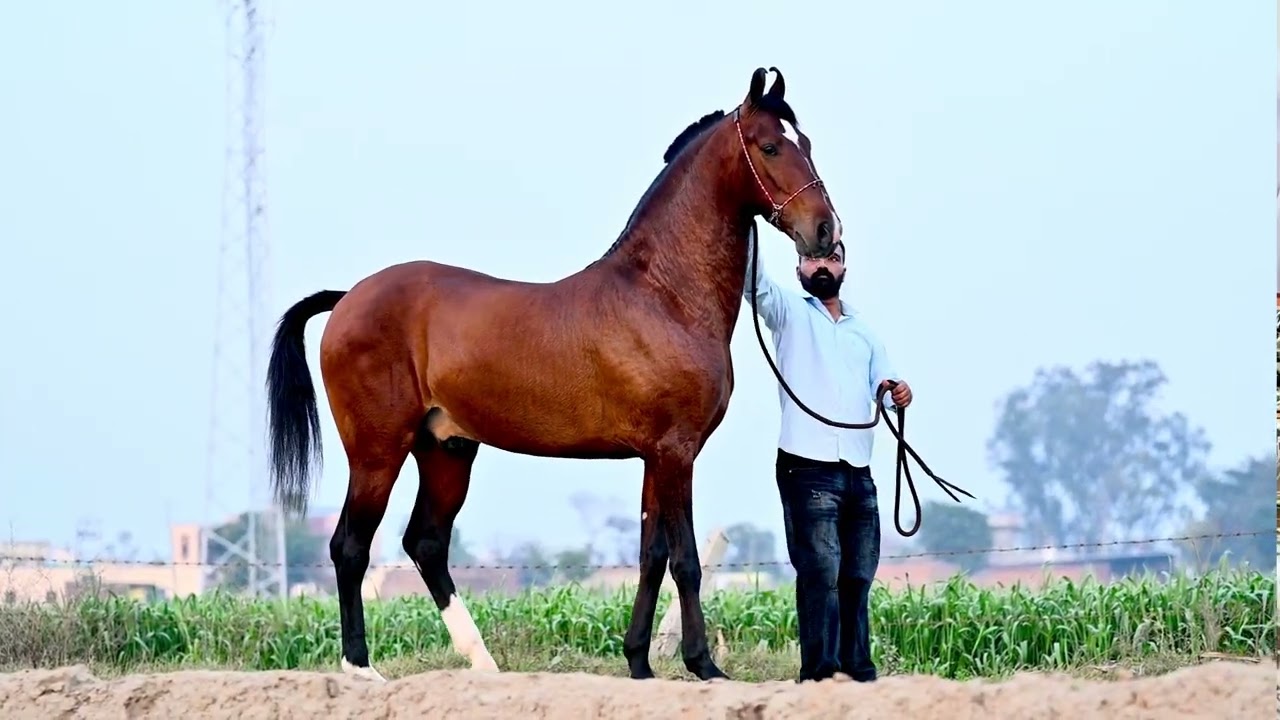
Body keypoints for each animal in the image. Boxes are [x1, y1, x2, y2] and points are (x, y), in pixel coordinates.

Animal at [264, 66, 840, 683]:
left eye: (807, 142)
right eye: (771, 145)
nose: (825, 234)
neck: (663, 295)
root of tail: (349, 297)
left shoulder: (655, 457)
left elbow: (651, 554)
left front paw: (639, 662)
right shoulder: (676, 453)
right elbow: (684, 559)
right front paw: (703, 666)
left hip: (445, 450)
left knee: (425, 543)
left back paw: (483, 664)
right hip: (377, 452)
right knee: (350, 546)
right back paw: (360, 669)